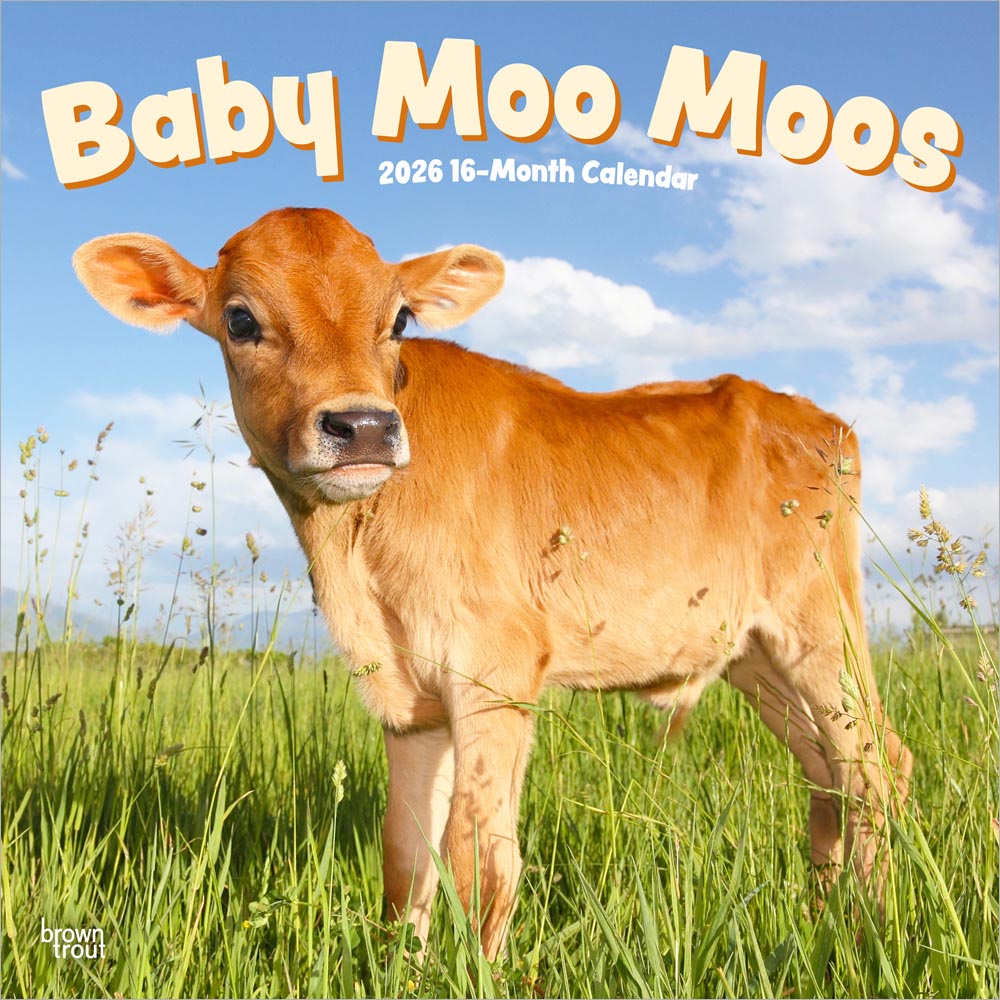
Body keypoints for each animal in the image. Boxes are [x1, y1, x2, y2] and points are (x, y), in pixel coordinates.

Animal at [73, 207, 911, 959]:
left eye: (398, 318)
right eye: (241, 319)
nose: (364, 428)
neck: (356, 557)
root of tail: (813, 417)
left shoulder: (497, 670)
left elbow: (480, 860)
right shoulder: (408, 698)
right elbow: (405, 858)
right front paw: (403, 970)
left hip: (821, 628)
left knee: (876, 769)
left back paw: (871, 931)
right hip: (755, 655)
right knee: (829, 779)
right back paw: (822, 926)